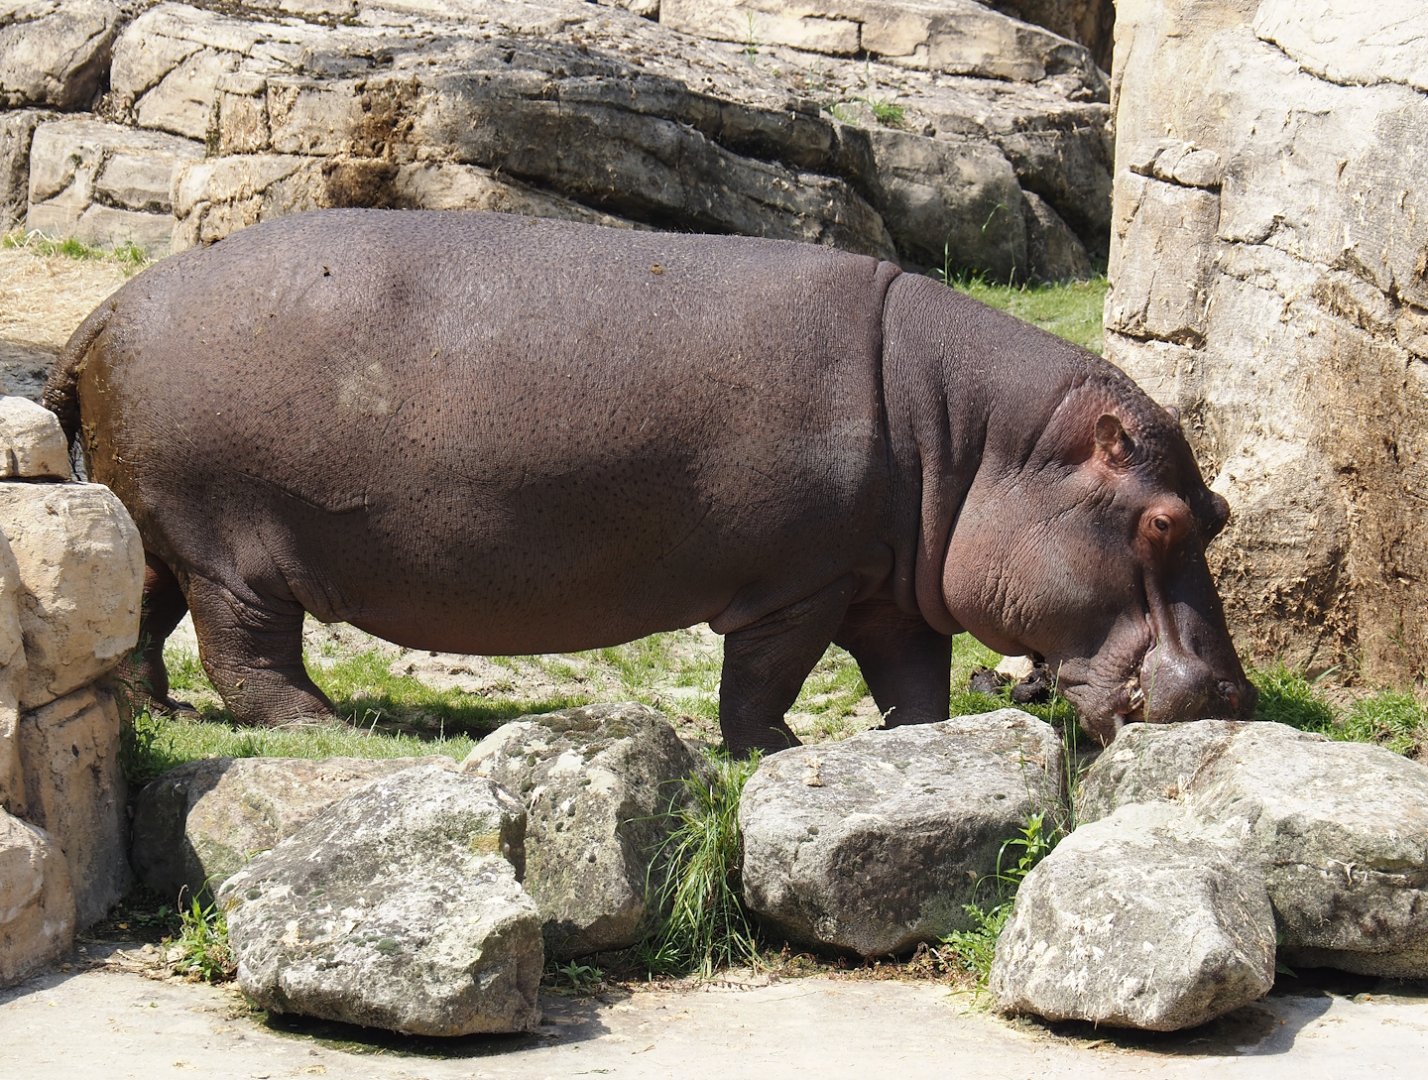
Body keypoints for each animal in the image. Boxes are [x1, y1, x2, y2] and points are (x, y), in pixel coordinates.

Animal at [45, 210, 1255, 755]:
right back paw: (322, 725)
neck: (978, 441)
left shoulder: (884, 581)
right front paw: (778, 753)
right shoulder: (800, 583)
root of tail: (100, 312)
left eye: (1221, 511)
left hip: (149, 522)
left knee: (143, 614)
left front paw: (915, 746)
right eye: (1159, 520)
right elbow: (763, 678)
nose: (1235, 695)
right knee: (244, 645)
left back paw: (155, 708)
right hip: (229, 545)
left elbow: (914, 673)